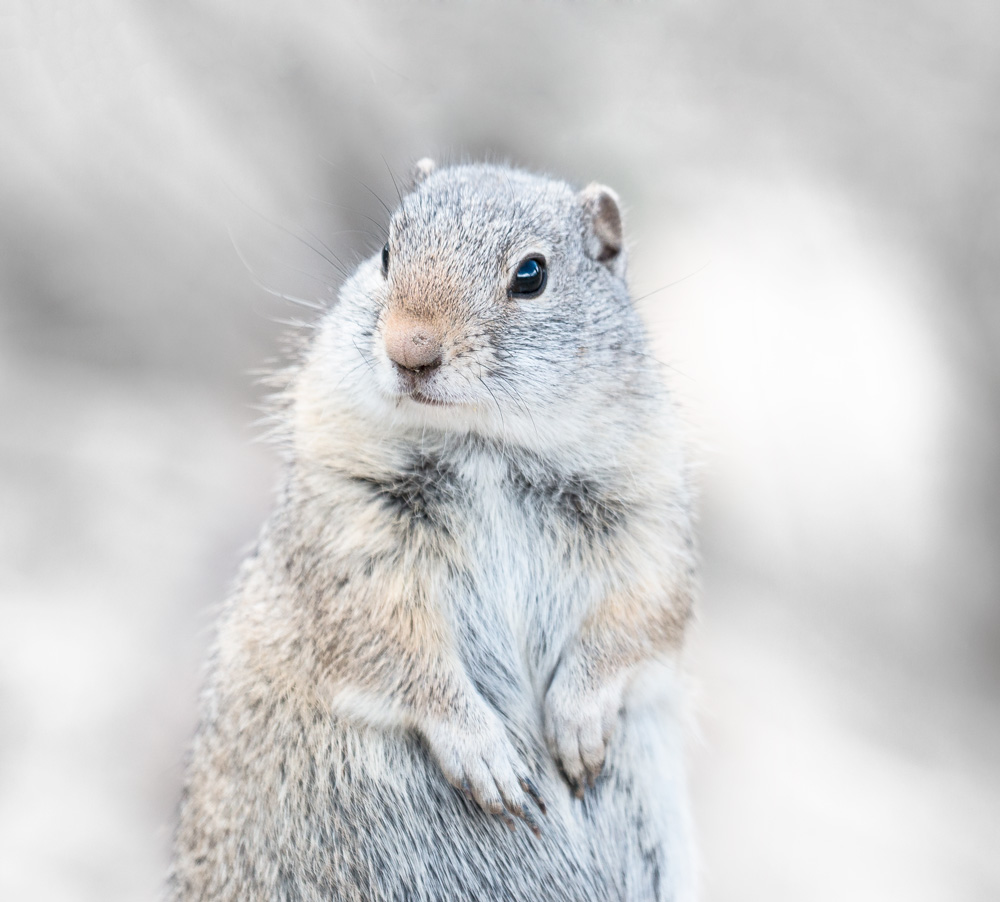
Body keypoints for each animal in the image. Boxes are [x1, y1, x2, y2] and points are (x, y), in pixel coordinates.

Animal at [170, 162, 696, 902]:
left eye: (530, 274)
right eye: (388, 253)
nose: (409, 349)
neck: (483, 446)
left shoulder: (645, 517)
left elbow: (639, 618)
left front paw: (578, 727)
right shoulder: (351, 536)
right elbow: (397, 649)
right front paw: (490, 761)